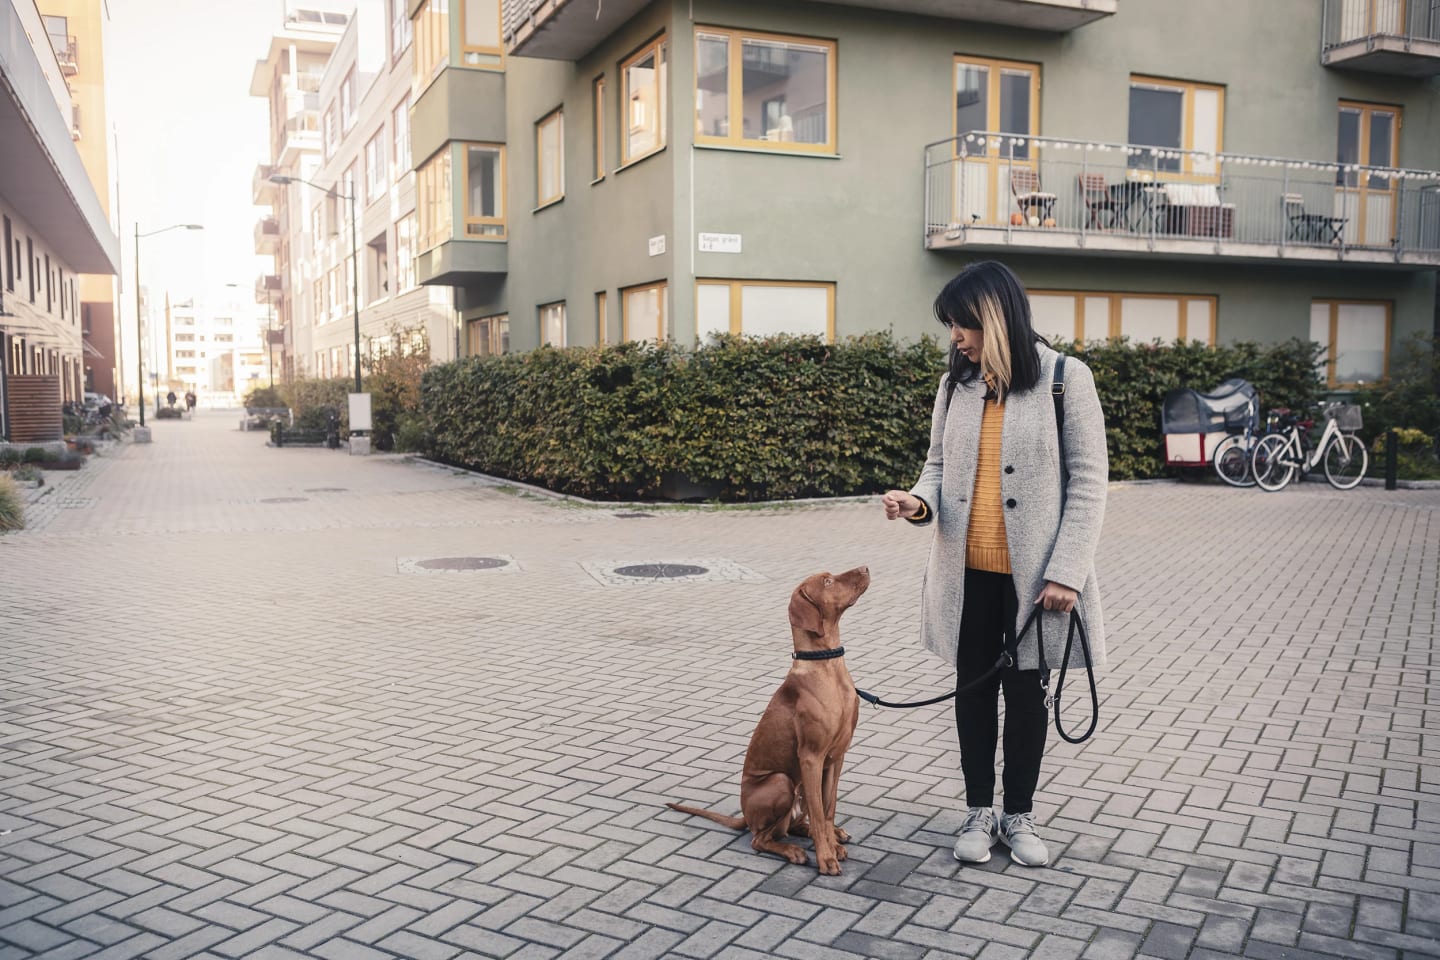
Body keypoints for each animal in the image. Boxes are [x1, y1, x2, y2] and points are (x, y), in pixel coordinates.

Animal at [668, 567, 869, 875]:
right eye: (827, 581)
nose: (865, 568)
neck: (828, 667)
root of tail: (744, 814)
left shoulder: (836, 756)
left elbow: (828, 807)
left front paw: (832, 842)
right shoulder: (812, 757)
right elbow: (820, 812)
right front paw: (826, 857)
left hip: (798, 786)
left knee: (794, 824)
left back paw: (823, 833)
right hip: (781, 781)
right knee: (761, 838)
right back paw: (794, 850)